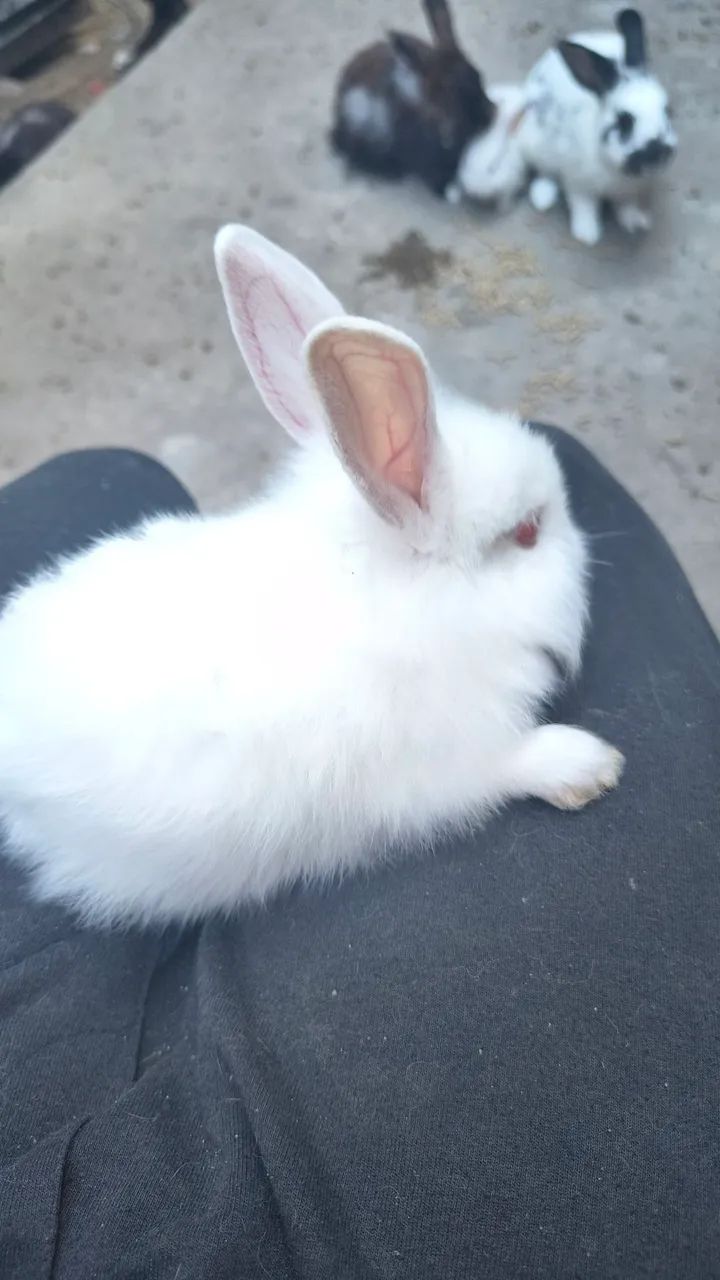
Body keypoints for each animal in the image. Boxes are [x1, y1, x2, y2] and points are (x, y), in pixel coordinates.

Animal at [0, 224, 624, 928]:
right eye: (527, 532)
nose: (583, 543)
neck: (419, 602)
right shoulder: (445, 765)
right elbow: (511, 764)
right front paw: (591, 767)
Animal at [515, 8, 676, 245]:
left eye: (667, 110)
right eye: (624, 120)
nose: (657, 151)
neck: (616, 170)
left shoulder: (629, 191)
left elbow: (626, 205)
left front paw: (634, 222)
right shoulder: (578, 183)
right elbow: (584, 206)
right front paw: (587, 234)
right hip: (536, 144)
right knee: (545, 172)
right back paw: (542, 196)